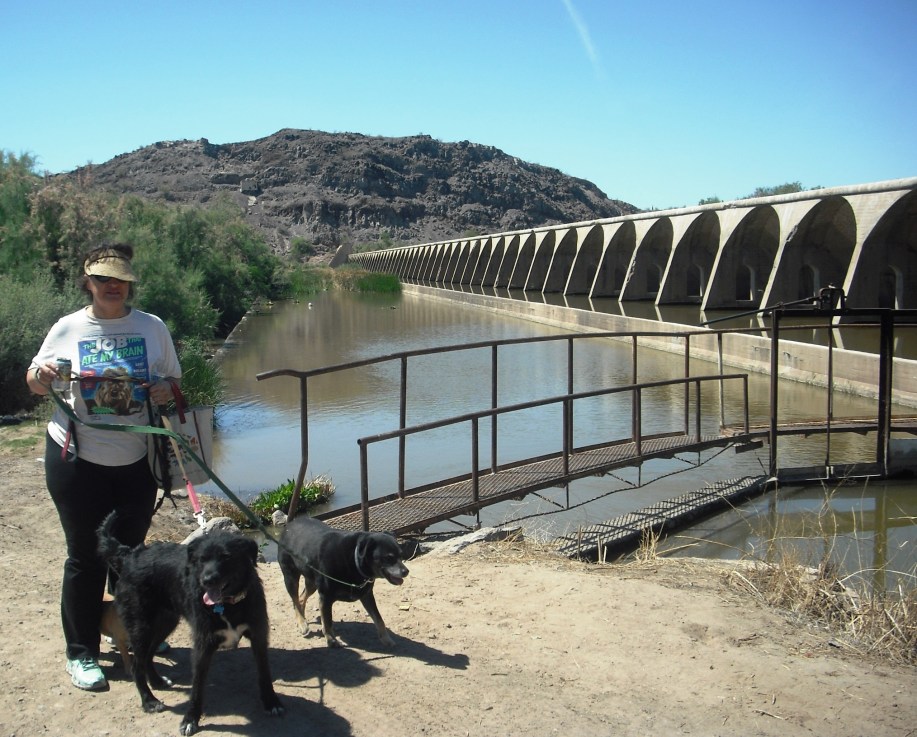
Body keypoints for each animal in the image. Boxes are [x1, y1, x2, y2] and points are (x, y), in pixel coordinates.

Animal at [97, 512, 284, 736]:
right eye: (201, 560)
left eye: (226, 557)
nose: (207, 580)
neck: (227, 605)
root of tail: (130, 556)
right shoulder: (203, 644)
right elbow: (197, 685)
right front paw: (190, 719)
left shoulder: (258, 635)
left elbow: (264, 672)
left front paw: (271, 702)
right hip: (140, 626)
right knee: (136, 665)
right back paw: (149, 700)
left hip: (164, 622)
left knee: (148, 655)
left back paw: (157, 682)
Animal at [277, 516, 409, 648]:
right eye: (388, 558)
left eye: (401, 554)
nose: (406, 571)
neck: (353, 560)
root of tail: (290, 523)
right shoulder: (325, 597)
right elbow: (327, 621)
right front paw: (331, 640)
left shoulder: (367, 595)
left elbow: (379, 619)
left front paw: (386, 639)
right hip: (290, 576)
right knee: (295, 599)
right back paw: (302, 623)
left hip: (311, 581)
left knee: (301, 598)